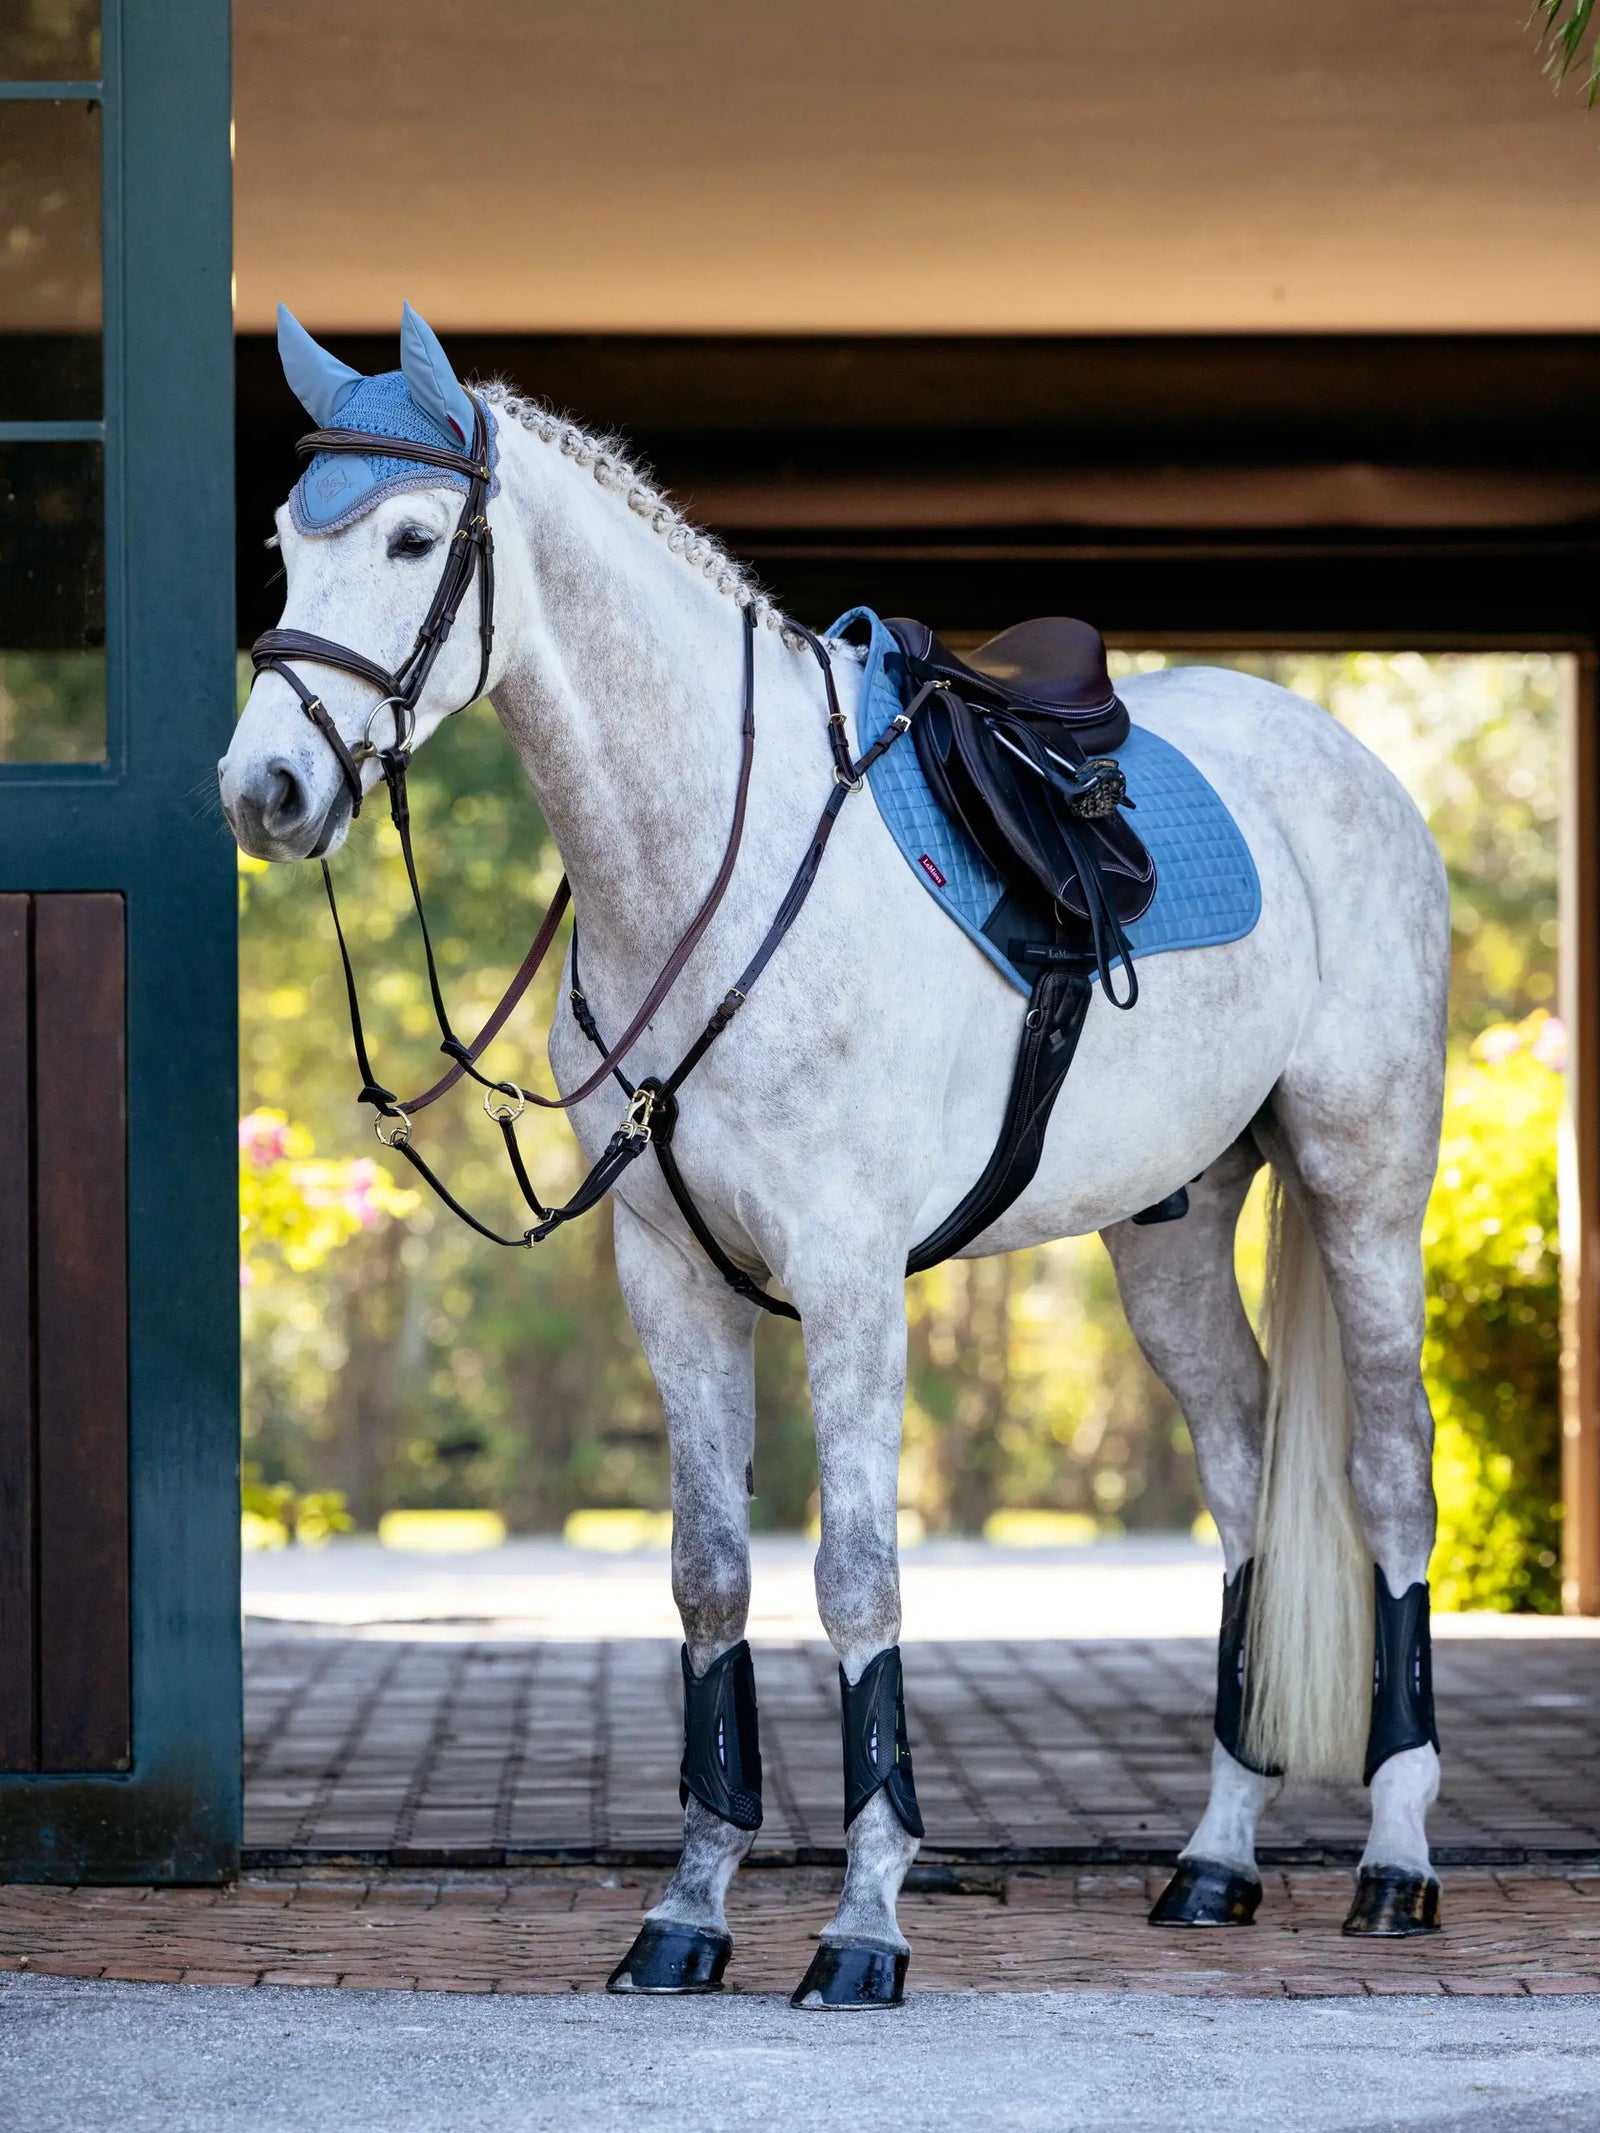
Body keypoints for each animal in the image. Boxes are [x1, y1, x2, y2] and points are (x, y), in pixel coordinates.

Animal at [220, 306, 1451, 2007]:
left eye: (411, 540)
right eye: (286, 543)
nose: (263, 790)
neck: (706, 874)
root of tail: (1350, 760)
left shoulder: (854, 1278)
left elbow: (857, 1577)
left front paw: (863, 1922)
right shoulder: (672, 1279)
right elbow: (709, 1579)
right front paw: (687, 1911)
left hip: (1363, 1183)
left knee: (1389, 1480)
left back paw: (1396, 1859)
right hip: (1171, 1231)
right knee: (1246, 1475)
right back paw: (1214, 1858)